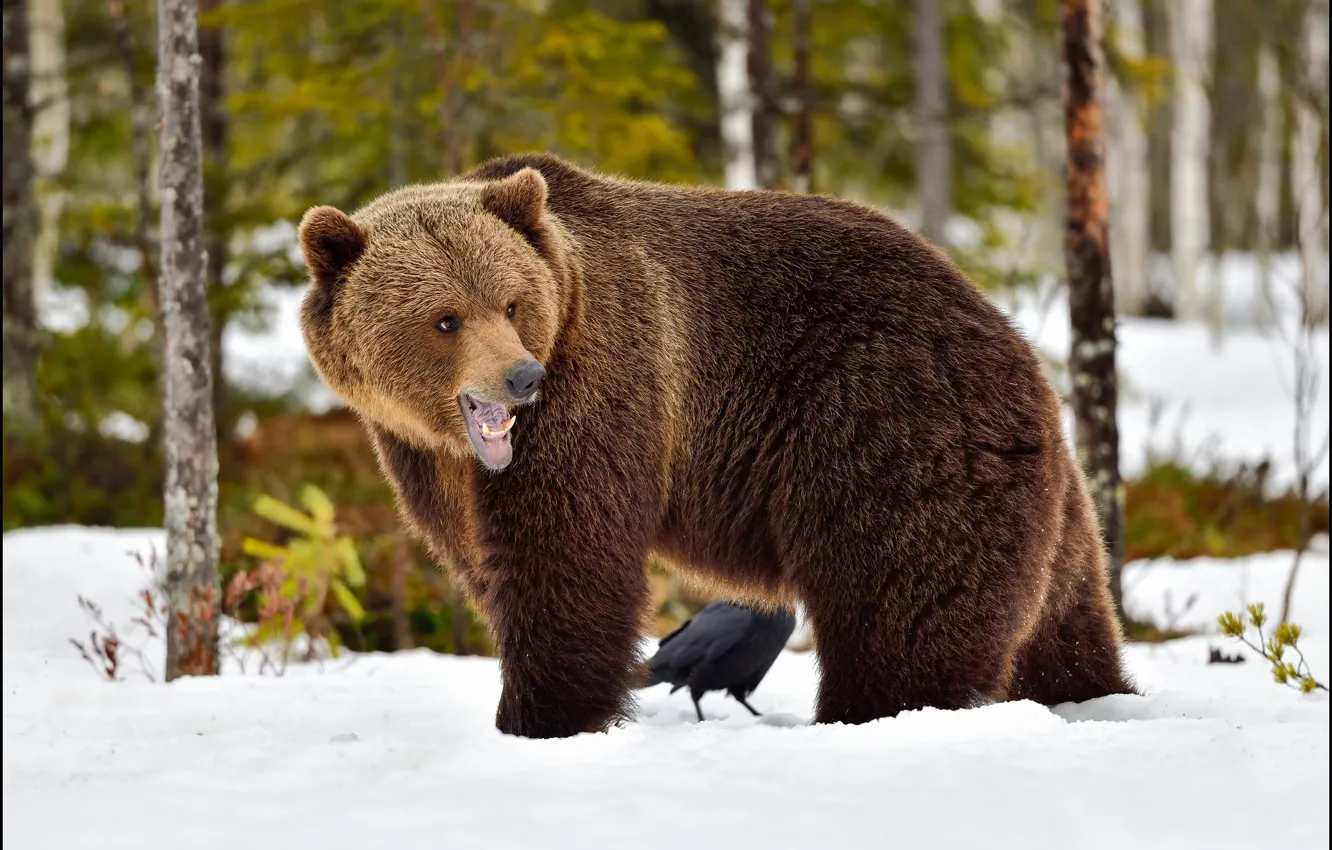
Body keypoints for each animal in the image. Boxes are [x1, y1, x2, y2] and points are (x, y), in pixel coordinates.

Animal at [297, 152, 1136, 739]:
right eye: (445, 318)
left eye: (511, 302)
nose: (522, 378)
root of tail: (1021, 350)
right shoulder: (423, 461)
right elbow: (487, 564)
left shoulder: (603, 388)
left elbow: (565, 561)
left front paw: (543, 718)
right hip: (1047, 502)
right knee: (1063, 615)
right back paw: (1096, 693)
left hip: (889, 425)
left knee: (902, 606)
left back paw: (872, 714)